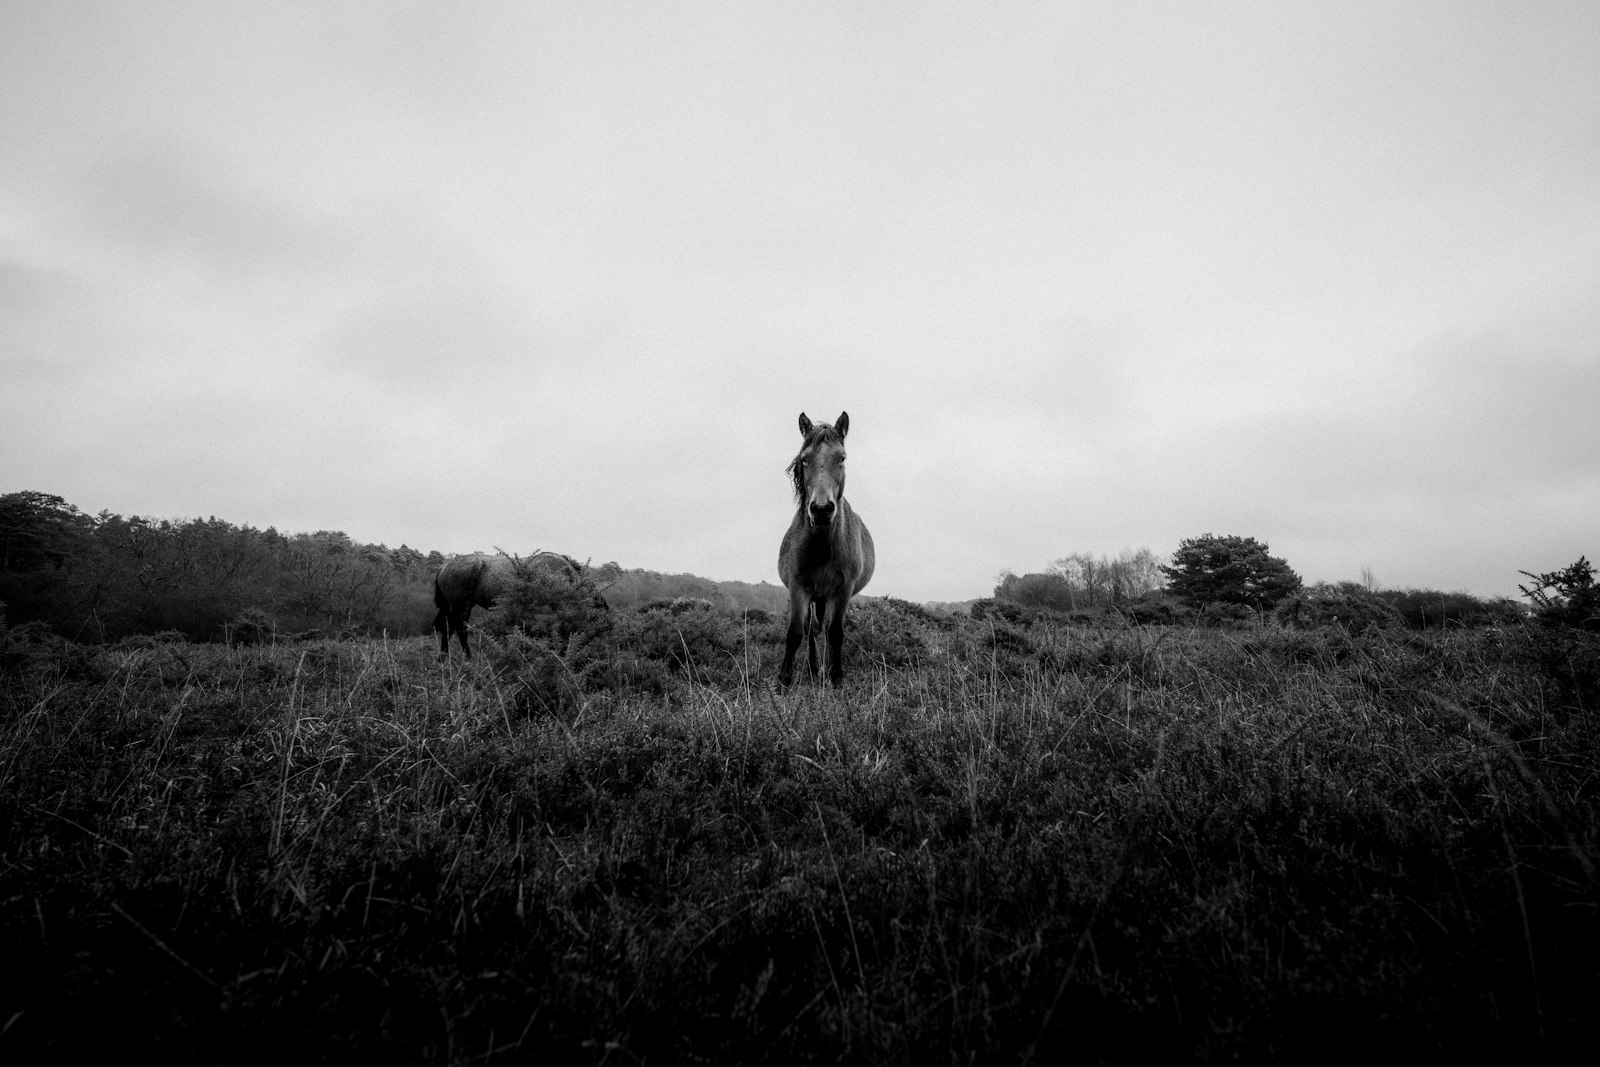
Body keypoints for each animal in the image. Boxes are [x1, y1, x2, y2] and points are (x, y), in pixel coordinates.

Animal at [432, 550, 601, 659]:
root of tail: (444, 566)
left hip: (456, 608)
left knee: (449, 628)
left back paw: (443, 658)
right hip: (460, 607)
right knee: (460, 630)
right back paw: (468, 658)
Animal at [774, 412, 876, 687]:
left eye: (842, 457)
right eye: (805, 458)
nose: (821, 509)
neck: (822, 546)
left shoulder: (842, 591)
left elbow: (835, 633)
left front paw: (836, 677)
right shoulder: (799, 587)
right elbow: (795, 632)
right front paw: (783, 680)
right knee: (811, 631)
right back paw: (812, 668)